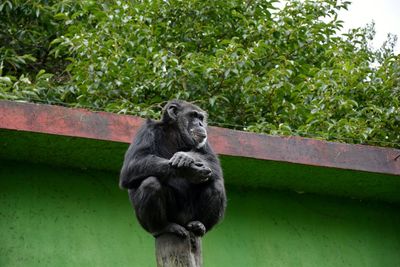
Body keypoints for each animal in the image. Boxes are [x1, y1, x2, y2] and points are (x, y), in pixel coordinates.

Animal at [119, 100, 227, 239]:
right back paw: (162, 227)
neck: (176, 134)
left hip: (190, 217)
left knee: (216, 186)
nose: (200, 124)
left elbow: (213, 162)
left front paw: (186, 156)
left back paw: (199, 225)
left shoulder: (205, 141)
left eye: (201, 118)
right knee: (150, 183)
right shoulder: (146, 130)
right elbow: (133, 163)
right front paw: (188, 170)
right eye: (193, 115)